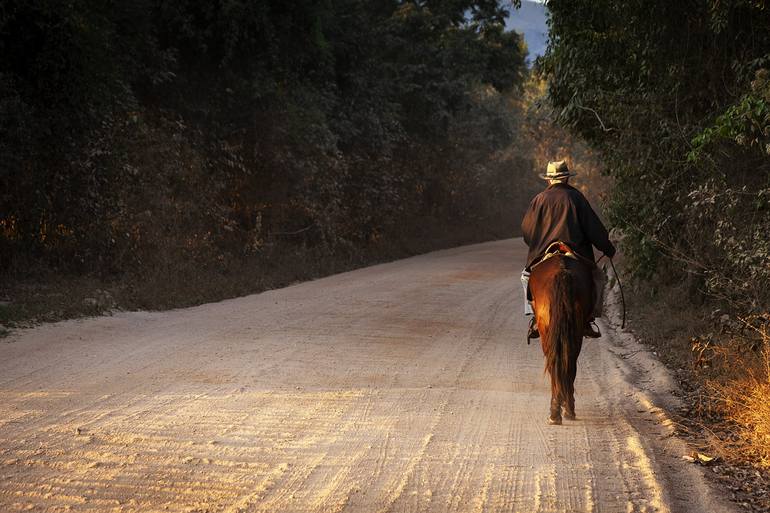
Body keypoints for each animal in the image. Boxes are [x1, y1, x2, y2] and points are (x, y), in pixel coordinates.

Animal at [528, 248, 592, 424]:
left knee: (556, 363)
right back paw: (566, 408)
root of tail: (562, 272)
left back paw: (557, 411)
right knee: (569, 362)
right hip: (574, 331)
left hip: (548, 332)